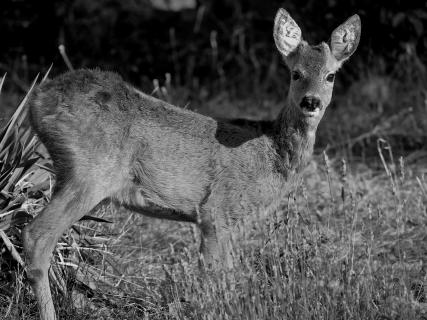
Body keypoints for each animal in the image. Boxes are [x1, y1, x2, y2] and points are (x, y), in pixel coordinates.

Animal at [22, 9, 362, 320]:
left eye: (331, 75)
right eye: (296, 73)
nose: (311, 102)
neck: (271, 154)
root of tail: (37, 99)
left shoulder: (227, 222)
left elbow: (227, 276)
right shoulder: (215, 211)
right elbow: (214, 279)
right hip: (89, 173)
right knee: (36, 236)